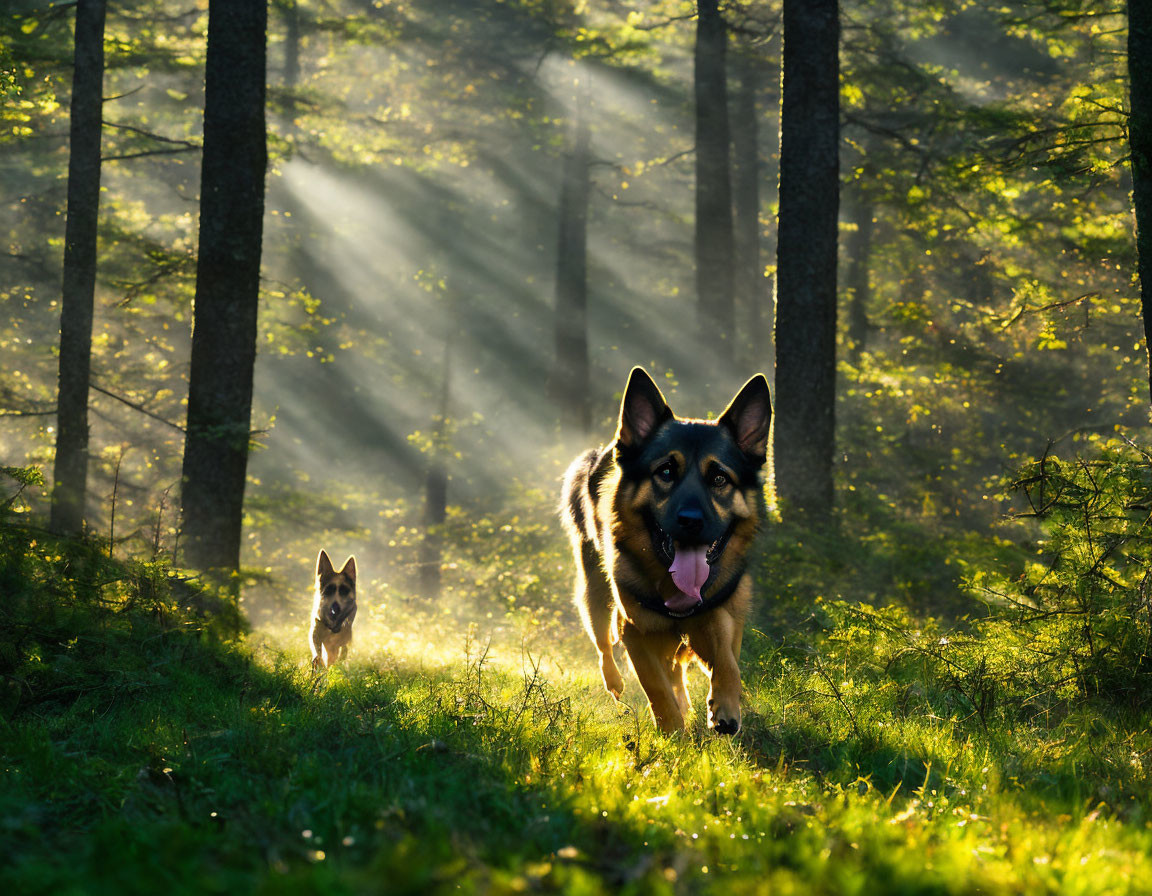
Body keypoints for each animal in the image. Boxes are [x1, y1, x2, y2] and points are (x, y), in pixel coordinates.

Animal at [559, 366, 769, 727]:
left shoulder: (721, 614)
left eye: (720, 479)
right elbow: (656, 686)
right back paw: (615, 683)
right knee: (604, 644)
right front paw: (672, 730)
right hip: (595, 596)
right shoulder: (635, 631)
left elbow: (727, 659)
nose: (691, 521)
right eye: (666, 472)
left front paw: (726, 707)